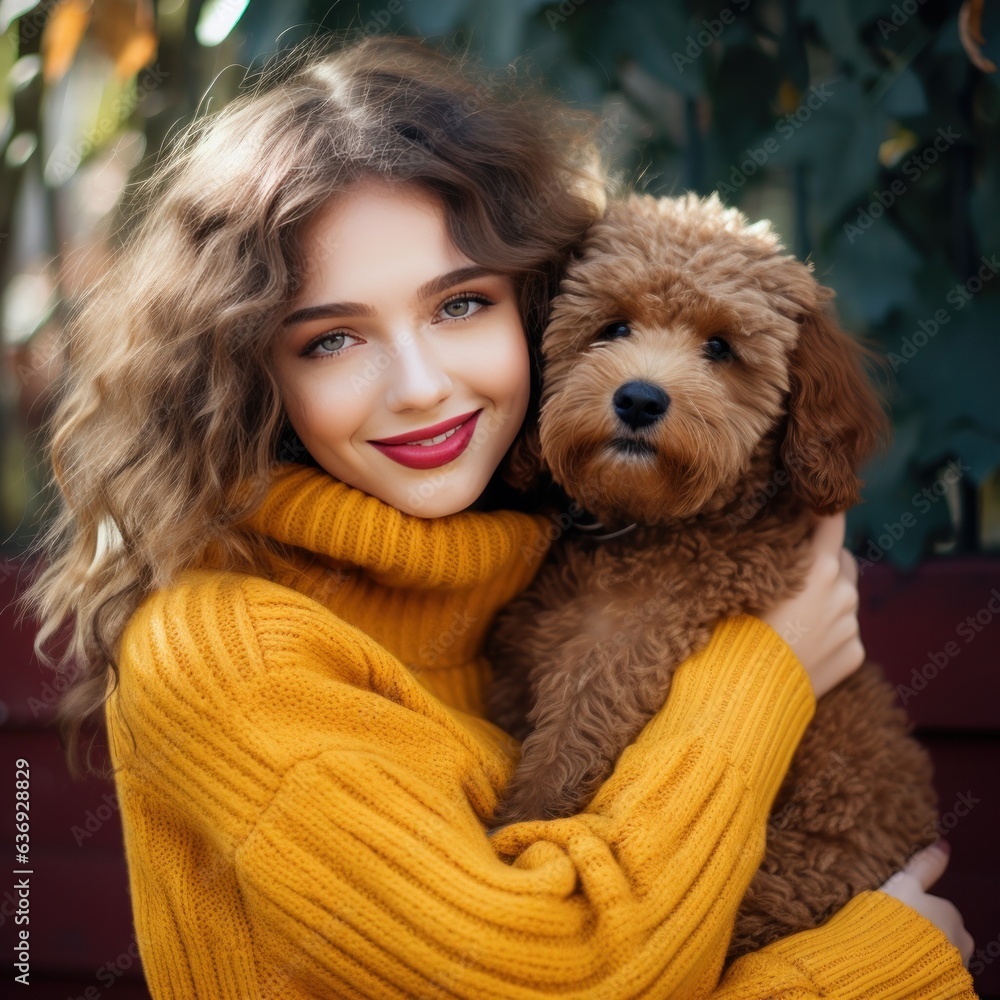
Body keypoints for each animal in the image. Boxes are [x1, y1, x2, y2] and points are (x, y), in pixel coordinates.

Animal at [488, 189, 940, 960]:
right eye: (612, 327)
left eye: (721, 348)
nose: (640, 399)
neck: (647, 528)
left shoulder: (633, 647)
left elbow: (571, 740)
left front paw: (523, 823)